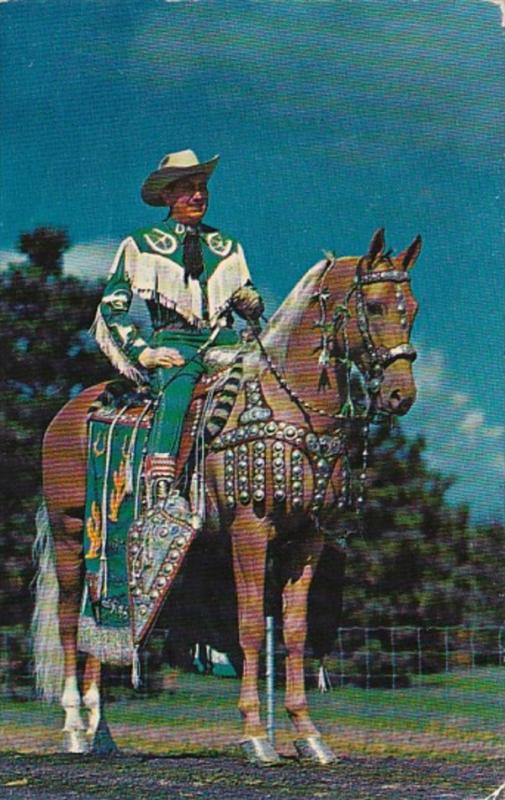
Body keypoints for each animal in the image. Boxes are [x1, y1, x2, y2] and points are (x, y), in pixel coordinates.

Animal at [32, 228, 422, 764]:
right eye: (377, 306)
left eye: (413, 309)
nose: (401, 395)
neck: (289, 406)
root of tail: (65, 414)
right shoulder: (250, 530)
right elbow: (253, 626)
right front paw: (257, 737)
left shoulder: (308, 538)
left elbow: (294, 631)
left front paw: (309, 736)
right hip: (72, 535)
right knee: (71, 620)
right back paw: (74, 727)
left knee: (100, 626)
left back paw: (102, 734)